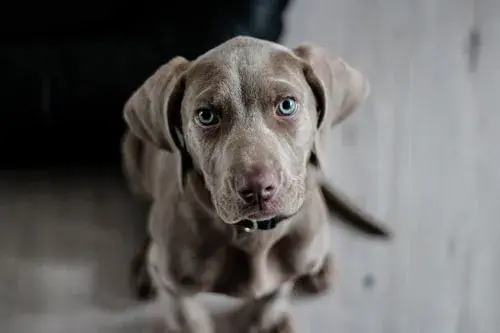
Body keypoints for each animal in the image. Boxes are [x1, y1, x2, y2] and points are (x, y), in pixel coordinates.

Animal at [122, 35, 390, 330]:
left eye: (287, 105)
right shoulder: (175, 289)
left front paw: (269, 321)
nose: (257, 189)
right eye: (206, 116)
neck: (255, 236)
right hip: (131, 154)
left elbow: (274, 295)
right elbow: (191, 320)